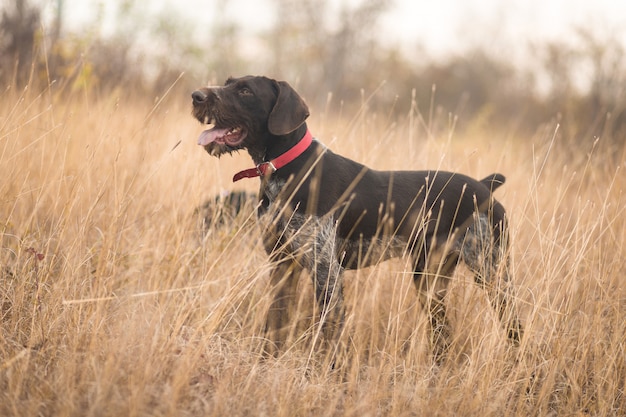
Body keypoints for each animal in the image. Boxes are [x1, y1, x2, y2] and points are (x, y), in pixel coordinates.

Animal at [190, 75, 520, 354]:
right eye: (228, 82)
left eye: (245, 90)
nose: (196, 96)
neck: (286, 170)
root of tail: (485, 186)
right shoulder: (282, 266)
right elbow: (275, 326)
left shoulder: (327, 272)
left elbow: (328, 339)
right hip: (430, 280)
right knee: (443, 336)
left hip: (492, 273)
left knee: (515, 329)